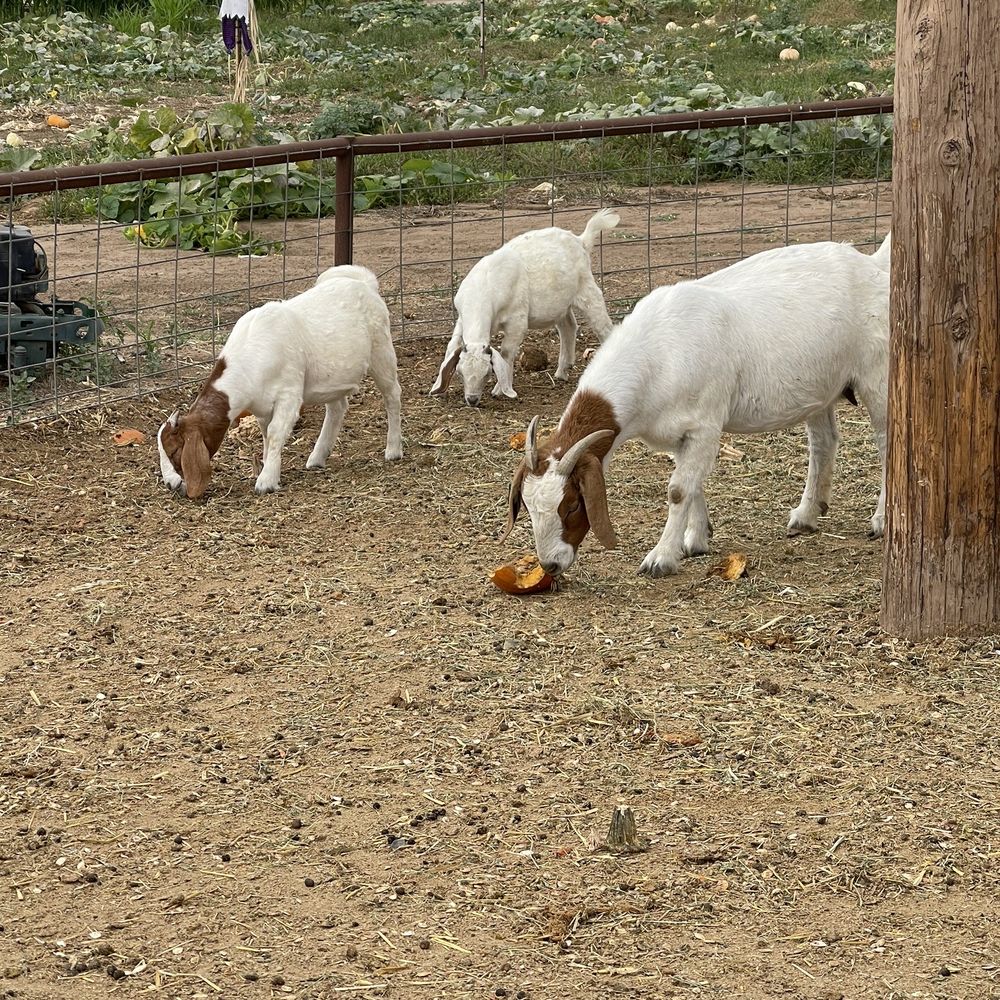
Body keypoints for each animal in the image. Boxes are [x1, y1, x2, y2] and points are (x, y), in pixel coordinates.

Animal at [157, 265, 403, 500]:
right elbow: (267, 435)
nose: (170, 485)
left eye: (175, 451)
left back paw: (393, 450)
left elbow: (276, 432)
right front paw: (269, 468)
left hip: (381, 351)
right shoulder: (262, 407)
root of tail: (366, 283)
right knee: (337, 407)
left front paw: (265, 481)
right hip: (334, 377)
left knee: (392, 395)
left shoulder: (289, 394)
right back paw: (317, 457)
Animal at [429, 208, 620, 406]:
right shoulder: (460, 319)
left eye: (487, 373)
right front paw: (438, 389)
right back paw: (562, 371)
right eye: (460, 373)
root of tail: (581, 240)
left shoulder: (517, 320)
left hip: (587, 289)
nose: (472, 400)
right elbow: (451, 346)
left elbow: (506, 352)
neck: (485, 288)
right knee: (568, 326)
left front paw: (499, 390)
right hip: (560, 304)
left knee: (603, 326)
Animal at [502, 235, 891, 578]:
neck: (658, 353)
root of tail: (872, 265)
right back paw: (807, 514)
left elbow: (677, 490)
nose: (550, 564)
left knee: (888, 442)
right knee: (823, 442)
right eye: (529, 508)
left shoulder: (705, 423)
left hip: (878, 373)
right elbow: (692, 484)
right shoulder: (681, 431)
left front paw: (660, 559)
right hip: (820, 386)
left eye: (571, 505)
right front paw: (696, 539)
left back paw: (882, 520)